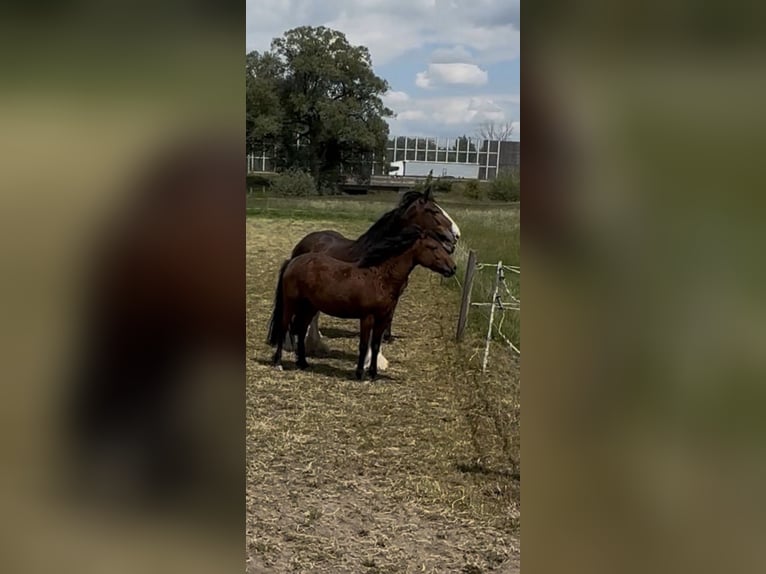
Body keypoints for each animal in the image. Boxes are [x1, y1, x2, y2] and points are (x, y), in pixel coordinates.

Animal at [268, 225, 457, 380]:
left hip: (309, 307)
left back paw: (303, 363)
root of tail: (292, 261)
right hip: (291, 304)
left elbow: (375, 345)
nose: (453, 268)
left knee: (300, 331)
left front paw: (373, 373)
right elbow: (364, 345)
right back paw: (278, 363)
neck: (380, 277)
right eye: (433, 247)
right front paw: (360, 373)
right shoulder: (367, 317)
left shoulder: (382, 318)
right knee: (284, 328)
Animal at [282, 173, 461, 369]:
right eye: (434, 211)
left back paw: (316, 345)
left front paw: (378, 360)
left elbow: (381, 329)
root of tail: (304, 242)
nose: (456, 235)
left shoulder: (391, 300)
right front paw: (369, 361)